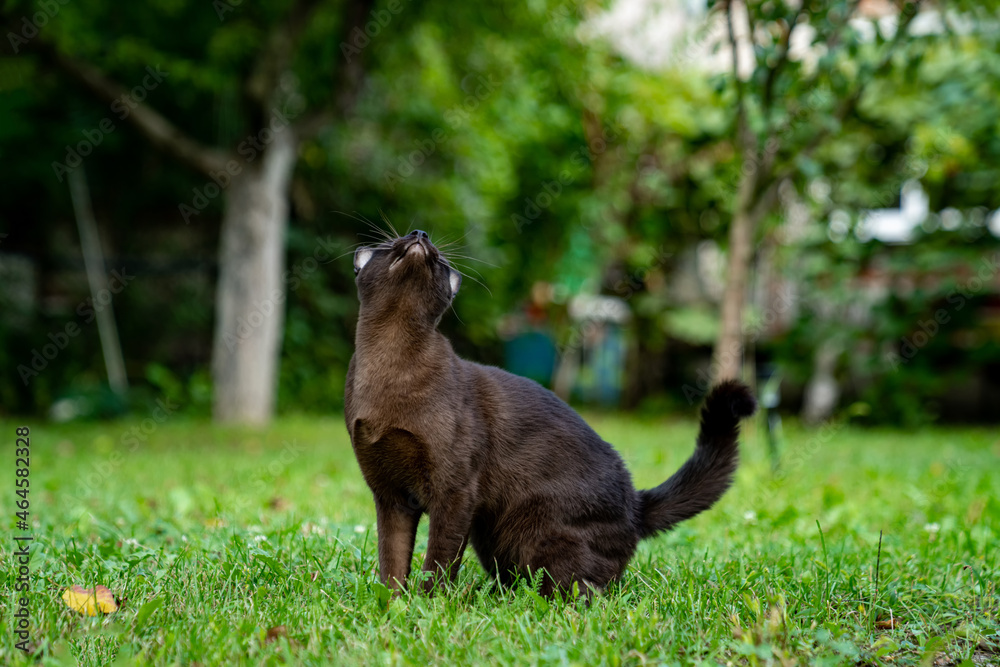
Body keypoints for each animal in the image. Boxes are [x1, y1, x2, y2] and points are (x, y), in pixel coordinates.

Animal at [346, 230, 756, 596]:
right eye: (391, 243)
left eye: (442, 262)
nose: (419, 234)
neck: (393, 360)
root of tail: (635, 505)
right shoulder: (391, 497)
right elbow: (392, 562)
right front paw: (392, 607)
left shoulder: (454, 492)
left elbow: (437, 563)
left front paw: (427, 606)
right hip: (490, 536)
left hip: (539, 533)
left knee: (583, 590)